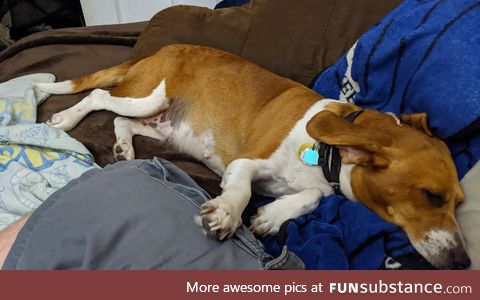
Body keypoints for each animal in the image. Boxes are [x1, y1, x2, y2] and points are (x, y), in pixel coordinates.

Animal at [36, 44, 468, 270]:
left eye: (458, 203)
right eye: (431, 196)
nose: (464, 261)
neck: (327, 153)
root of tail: (164, 47)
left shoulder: (315, 187)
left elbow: (312, 196)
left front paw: (271, 216)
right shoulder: (246, 163)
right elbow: (241, 190)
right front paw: (228, 212)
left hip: (163, 125)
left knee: (121, 122)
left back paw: (124, 148)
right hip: (146, 96)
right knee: (98, 97)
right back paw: (65, 118)